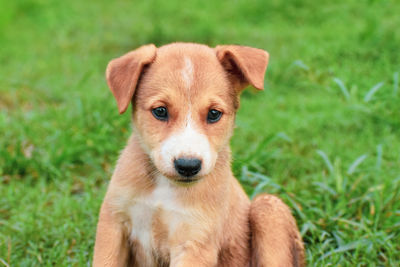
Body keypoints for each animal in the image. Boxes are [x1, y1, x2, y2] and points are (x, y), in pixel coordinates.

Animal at [94, 43, 304, 266]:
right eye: (160, 111)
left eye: (214, 114)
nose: (188, 166)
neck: (163, 187)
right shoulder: (113, 223)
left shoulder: (194, 242)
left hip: (268, 207)